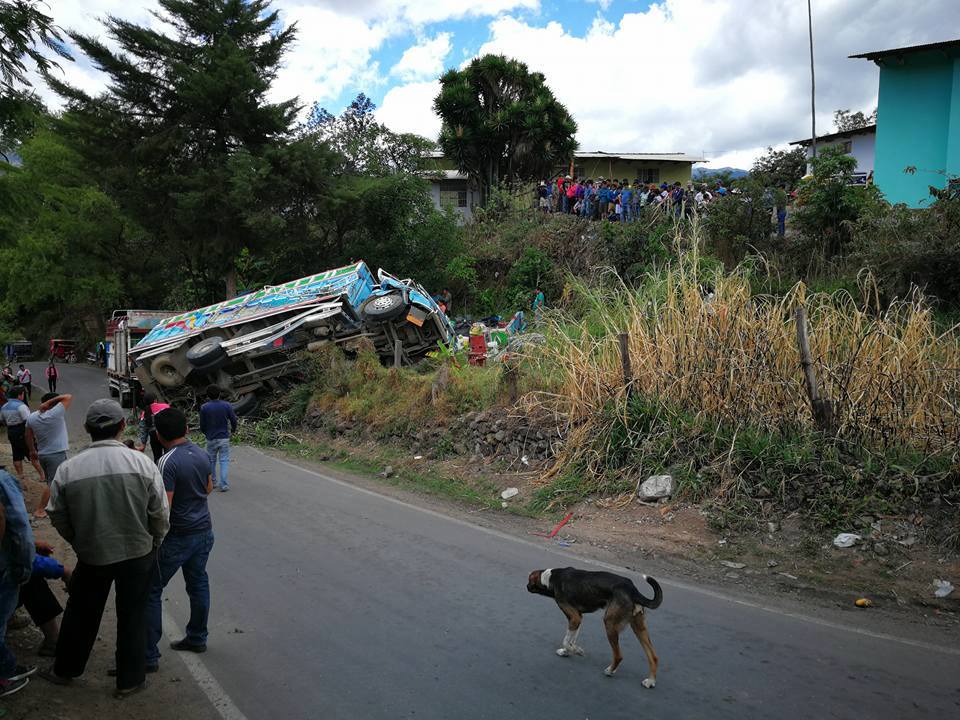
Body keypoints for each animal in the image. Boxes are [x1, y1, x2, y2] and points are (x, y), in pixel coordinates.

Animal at [528, 568, 664, 688]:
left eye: (529, 580)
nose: (526, 586)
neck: (551, 577)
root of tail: (632, 589)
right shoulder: (578, 618)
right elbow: (571, 639)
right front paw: (567, 651)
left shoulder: (575, 618)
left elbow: (566, 641)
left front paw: (576, 651)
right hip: (638, 628)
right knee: (653, 657)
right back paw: (650, 681)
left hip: (610, 624)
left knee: (618, 655)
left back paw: (610, 671)